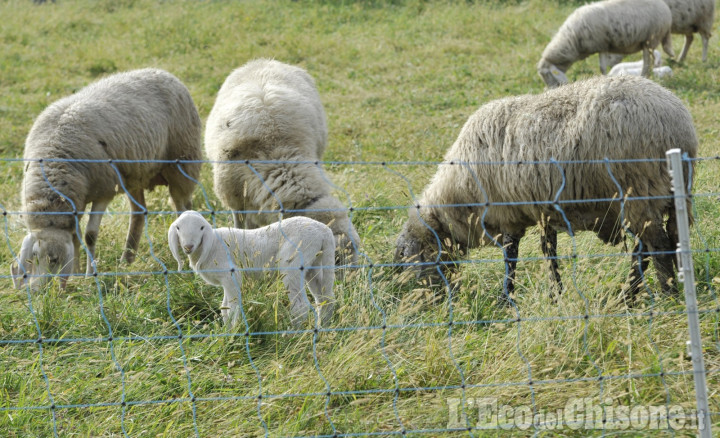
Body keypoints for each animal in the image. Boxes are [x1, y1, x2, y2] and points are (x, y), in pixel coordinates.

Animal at [11, 68, 202, 290]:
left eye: (54, 260)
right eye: (32, 257)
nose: (38, 291)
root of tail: (162, 72)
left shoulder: (104, 191)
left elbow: (89, 235)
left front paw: (88, 274)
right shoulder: (77, 202)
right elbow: (75, 238)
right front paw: (77, 272)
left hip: (182, 164)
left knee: (183, 208)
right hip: (134, 176)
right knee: (139, 213)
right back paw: (127, 259)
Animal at [169, 211, 338, 328]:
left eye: (201, 228)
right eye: (178, 227)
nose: (188, 247)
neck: (210, 246)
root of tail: (324, 231)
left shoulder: (231, 276)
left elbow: (231, 309)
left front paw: (233, 333)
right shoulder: (226, 282)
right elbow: (224, 308)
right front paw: (226, 331)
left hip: (292, 264)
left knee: (300, 306)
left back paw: (295, 334)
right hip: (314, 265)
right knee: (325, 299)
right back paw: (324, 327)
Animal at [394, 74, 696, 302]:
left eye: (415, 259)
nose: (433, 301)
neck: (457, 197)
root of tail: (678, 124)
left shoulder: (508, 215)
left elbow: (511, 257)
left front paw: (507, 299)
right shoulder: (543, 211)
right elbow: (549, 252)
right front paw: (555, 294)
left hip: (639, 192)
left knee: (657, 246)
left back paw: (666, 293)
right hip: (664, 196)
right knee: (655, 244)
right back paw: (633, 294)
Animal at [536, 0, 676, 87]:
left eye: (547, 74)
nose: (553, 90)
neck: (572, 39)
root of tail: (666, 8)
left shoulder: (601, 44)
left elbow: (602, 67)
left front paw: (604, 79)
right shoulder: (601, 46)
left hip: (650, 39)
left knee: (647, 62)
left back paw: (643, 76)